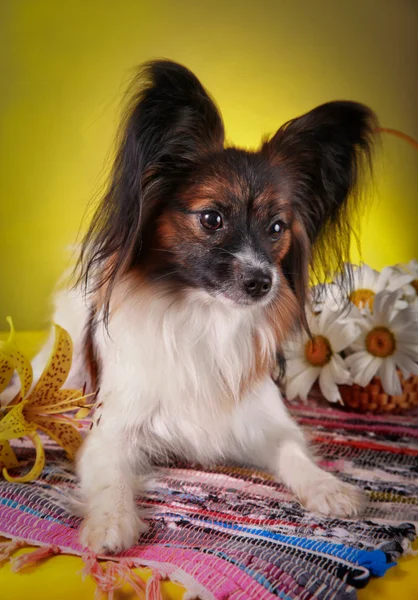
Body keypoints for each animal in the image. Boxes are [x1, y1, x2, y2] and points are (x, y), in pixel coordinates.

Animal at [30, 61, 376, 552]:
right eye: (212, 218)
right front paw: (112, 523)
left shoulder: (264, 421)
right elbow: (111, 478)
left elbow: (293, 451)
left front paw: (328, 487)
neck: (207, 317)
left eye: (276, 228)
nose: (263, 282)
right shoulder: (110, 431)